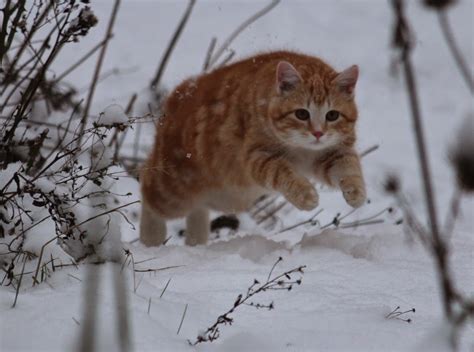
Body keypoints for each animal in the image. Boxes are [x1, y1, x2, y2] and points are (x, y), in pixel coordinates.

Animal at [139, 51, 364, 246]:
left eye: (332, 115)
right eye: (301, 114)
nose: (318, 133)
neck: (303, 150)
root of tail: (179, 95)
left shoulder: (333, 152)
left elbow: (348, 167)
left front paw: (356, 192)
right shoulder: (259, 156)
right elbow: (284, 173)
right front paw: (304, 193)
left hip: (225, 198)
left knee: (198, 209)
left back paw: (197, 241)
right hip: (175, 189)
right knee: (147, 184)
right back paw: (151, 241)